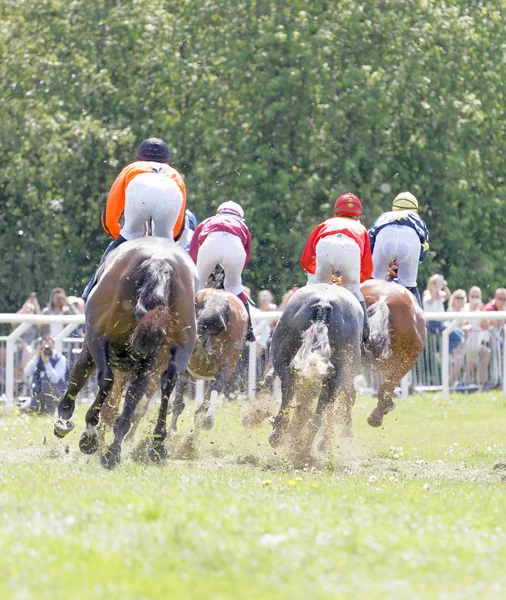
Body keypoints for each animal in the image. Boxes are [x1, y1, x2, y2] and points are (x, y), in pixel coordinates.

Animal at [53, 236, 198, 468]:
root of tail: (159, 261)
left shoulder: (92, 341)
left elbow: (80, 376)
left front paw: (65, 418)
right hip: (173, 348)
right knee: (164, 383)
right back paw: (132, 447)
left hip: (99, 336)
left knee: (105, 378)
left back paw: (91, 436)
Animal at [268, 284, 364, 460]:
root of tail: (324, 304)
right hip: (337, 376)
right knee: (320, 411)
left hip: (284, 363)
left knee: (290, 390)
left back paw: (282, 434)